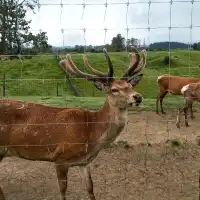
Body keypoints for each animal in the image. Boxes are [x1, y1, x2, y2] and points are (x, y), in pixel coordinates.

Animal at [0, 47, 147, 200]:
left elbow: (90, 188)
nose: (138, 97)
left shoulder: (84, 162)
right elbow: (63, 191)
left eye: (130, 86)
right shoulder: (60, 158)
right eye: (114, 89)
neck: (90, 133)